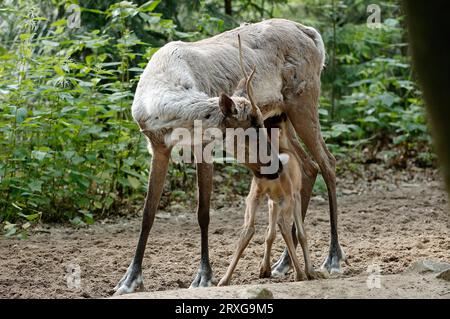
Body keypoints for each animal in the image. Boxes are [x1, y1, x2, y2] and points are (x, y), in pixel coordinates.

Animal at [217, 113, 324, 288]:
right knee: (284, 226)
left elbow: (270, 233)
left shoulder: (271, 202)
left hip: (255, 197)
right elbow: (300, 233)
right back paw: (300, 274)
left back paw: (224, 280)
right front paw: (309, 271)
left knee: (249, 229)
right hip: (286, 200)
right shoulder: (294, 197)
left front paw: (264, 269)